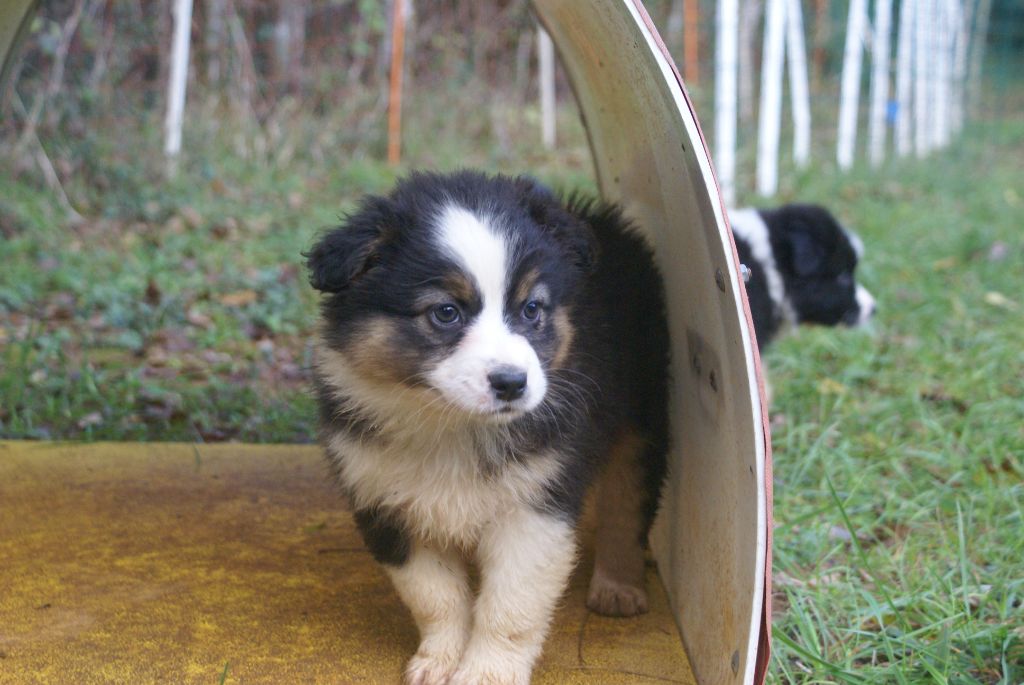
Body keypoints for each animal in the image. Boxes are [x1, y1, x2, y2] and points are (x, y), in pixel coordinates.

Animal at [306, 171, 669, 685]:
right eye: (445, 312)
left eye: (532, 308)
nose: (512, 383)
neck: (453, 425)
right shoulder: (384, 501)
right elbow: (435, 596)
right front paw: (439, 661)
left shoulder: (536, 504)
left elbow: (510, 606)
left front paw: (486, 673)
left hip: (642, 414)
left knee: (627, 503)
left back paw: (618, 588)